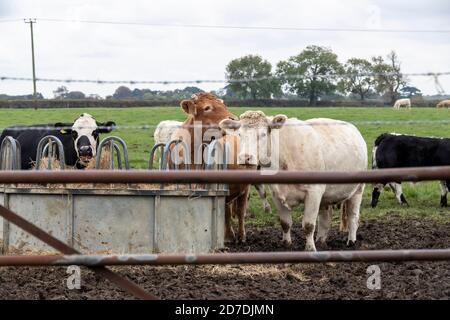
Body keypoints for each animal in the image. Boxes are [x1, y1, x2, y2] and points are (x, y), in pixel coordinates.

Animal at [219, 111, 370, 251]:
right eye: (239, 134)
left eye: (262, 134)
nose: (245, 157)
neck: (285, 156)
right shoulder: (276, 194)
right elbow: (285, 223)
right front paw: (286, 244)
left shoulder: (314, 192)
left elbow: (308, 225)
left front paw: (310, 248)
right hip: (327, 197)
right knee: (325, 219)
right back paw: (321, 241)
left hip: (357, 190)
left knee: (353, 216)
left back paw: (351, 240)